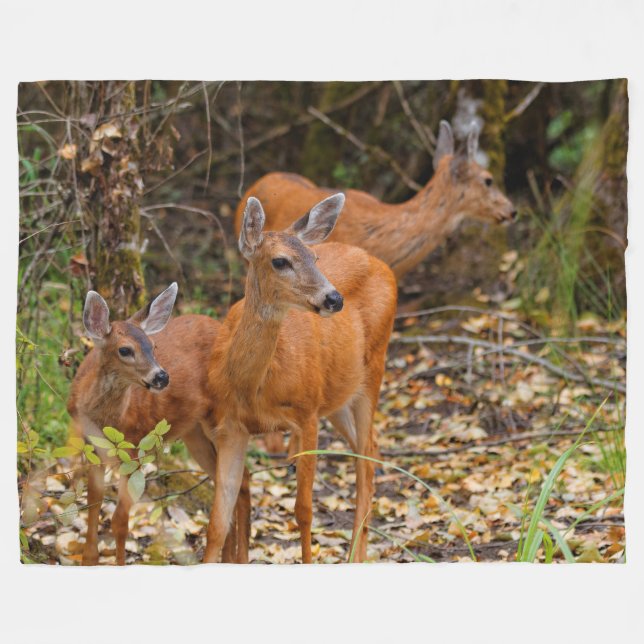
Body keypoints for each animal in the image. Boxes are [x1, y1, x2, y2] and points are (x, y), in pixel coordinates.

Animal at [67, 283, 251, 565]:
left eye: (153, 345)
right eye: (125, 350)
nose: (162, 377)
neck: (107, 420)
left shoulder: (134, 447)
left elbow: (120, 521)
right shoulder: (92, 448)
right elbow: (93, 504)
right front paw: (89, 560)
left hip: (223, 418)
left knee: (242, 479)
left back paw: (239, 558)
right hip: (194, 432)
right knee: (234, 482)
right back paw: (229, 558)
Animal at [203, 193, 397, 564]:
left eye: (314, 257)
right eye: (280, 261)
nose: (334, 298)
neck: (253, 387)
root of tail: (382, 264)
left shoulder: (307, 414)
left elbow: (303, 510)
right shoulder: (231, 427)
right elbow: (218, 520)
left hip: (373, 368)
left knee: (366, 458)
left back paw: (355, 556)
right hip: (337, 394)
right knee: (370, 447)